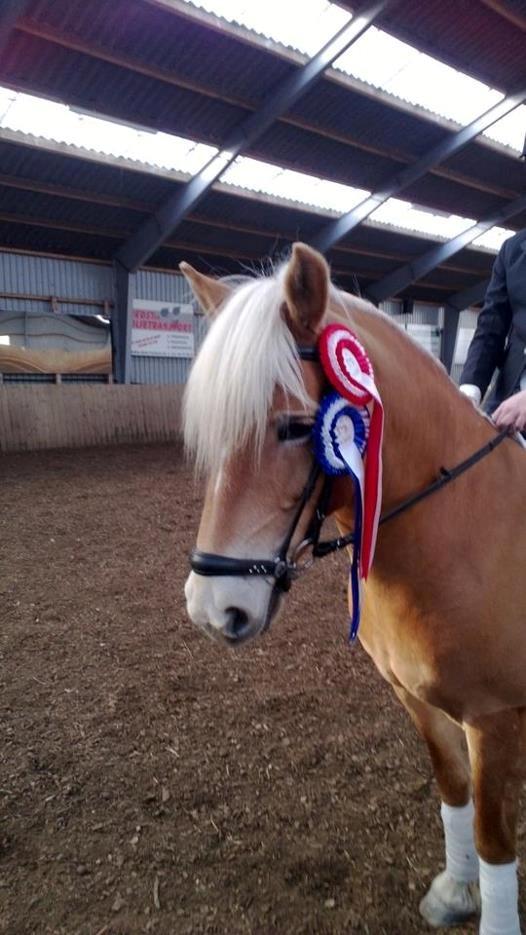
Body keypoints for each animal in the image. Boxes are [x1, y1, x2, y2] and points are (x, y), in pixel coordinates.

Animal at [183, 245, 526, 932]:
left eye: (293, 428)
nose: (213, 611)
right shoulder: (413, 696)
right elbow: (453, 788)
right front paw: (455, 891)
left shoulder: (496, 718)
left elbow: (494, 837)